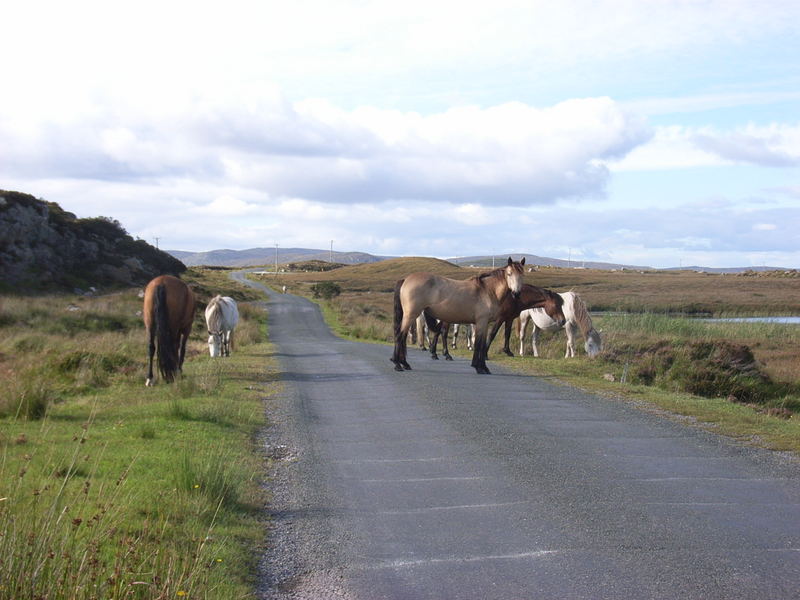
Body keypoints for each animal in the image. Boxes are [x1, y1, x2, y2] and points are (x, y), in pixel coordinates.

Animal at [392, 258, 524, 376]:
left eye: (522, 274)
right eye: (509, 274)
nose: (517, 294)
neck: (487, 290)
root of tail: (405, 279)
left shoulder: (485, 324)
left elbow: (481, 345)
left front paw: (484, 368)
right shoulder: (481, 322)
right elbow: (478, 344)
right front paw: (479, 368)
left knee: (403, 337)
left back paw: (404, 363)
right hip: (411, 315)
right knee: (399, 336)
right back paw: (397, 364)